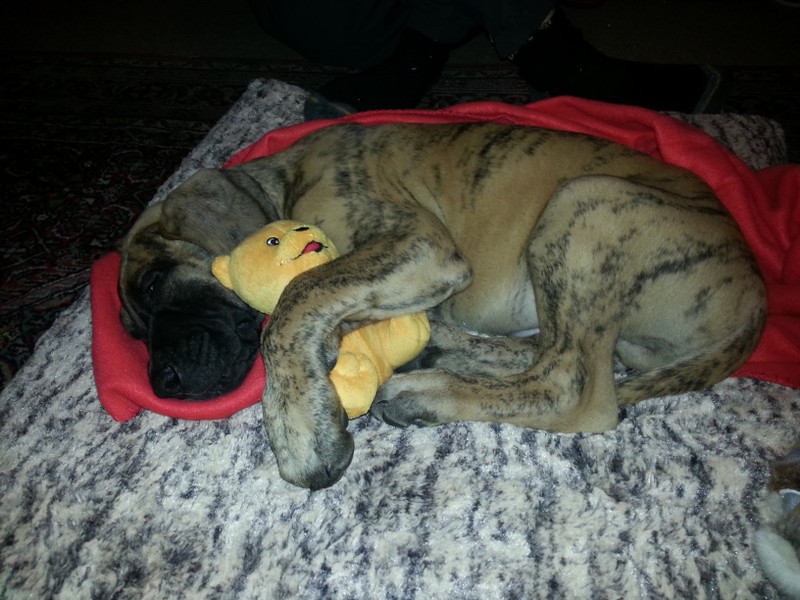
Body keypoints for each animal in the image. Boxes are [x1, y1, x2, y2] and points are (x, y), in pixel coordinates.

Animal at [119, 122, 766, 489]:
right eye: (130, 331)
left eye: (153, 284)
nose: (163, 381)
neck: (289, 178)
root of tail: (757, 290)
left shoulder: (419, 246)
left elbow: (298, 298)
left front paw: (298, 423)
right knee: (544, 356)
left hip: (588, 202)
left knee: (573, 386)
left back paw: (426, 392)